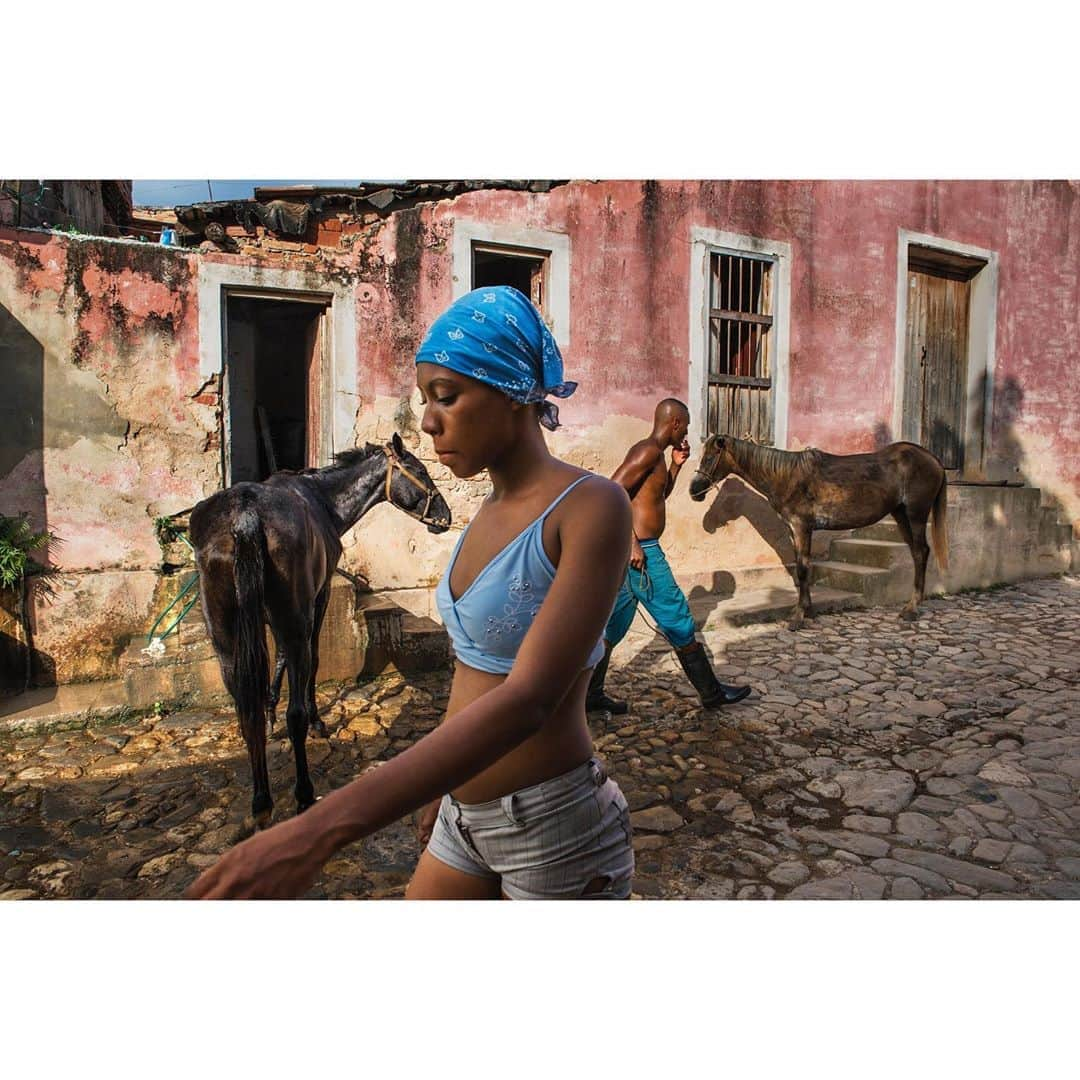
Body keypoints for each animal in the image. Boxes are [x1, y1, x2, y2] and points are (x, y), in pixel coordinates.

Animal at [686, 436, 950, 626]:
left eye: (710, 457)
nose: (694, 491)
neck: (787, 477)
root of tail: (934, 459)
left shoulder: (801, 527)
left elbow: (803, 569)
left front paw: (798, 617)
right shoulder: (795, 530)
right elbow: (804, 566)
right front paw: (807, 610)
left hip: (916, 515)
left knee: (921, 552)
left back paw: (912, 609)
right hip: (900, 514)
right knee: (916, 553)